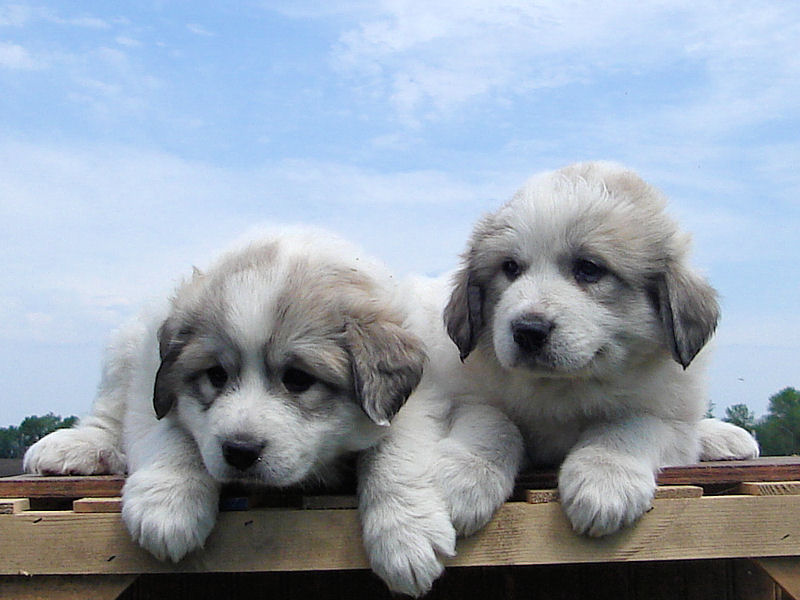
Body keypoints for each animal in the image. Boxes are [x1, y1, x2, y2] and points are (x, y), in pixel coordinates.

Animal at [23, 230, 424, 564]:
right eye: (216, 375)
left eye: (297, 379)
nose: (240, 451)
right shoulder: (148, 379)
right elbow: (170, 433)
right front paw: (167, 507)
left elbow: (397, 449)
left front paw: (406, 536)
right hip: (124, 348)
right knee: (107, 412)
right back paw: (76, 448)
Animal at [360, 162, 760, 596]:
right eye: (510, 269)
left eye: (589, 269)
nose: (527, 330)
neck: (565, 387)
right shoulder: (460, 392)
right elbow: (495, 422)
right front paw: (464, 480)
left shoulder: (670, 417)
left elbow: (631, 424)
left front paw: (604, 482)